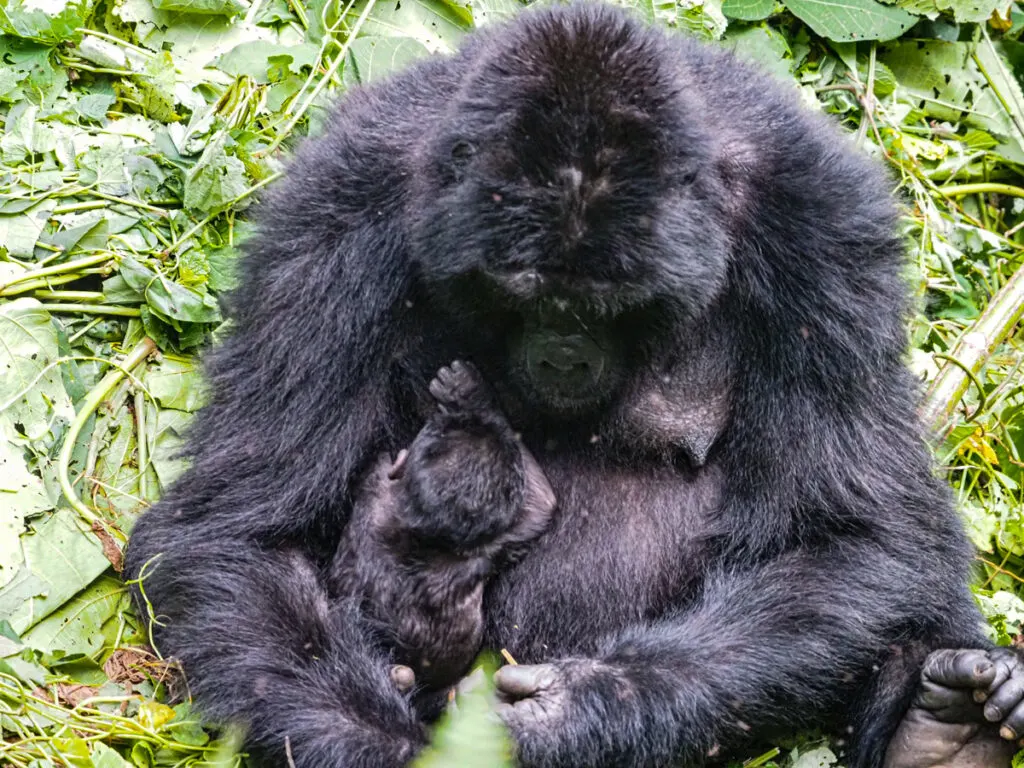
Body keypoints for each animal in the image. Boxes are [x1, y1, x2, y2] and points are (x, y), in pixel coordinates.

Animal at [329, 362, 557, 696]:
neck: (418, 530)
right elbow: (541, 505)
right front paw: (474, 399)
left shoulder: (375, 481)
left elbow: (541, 506)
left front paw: (471, 398)